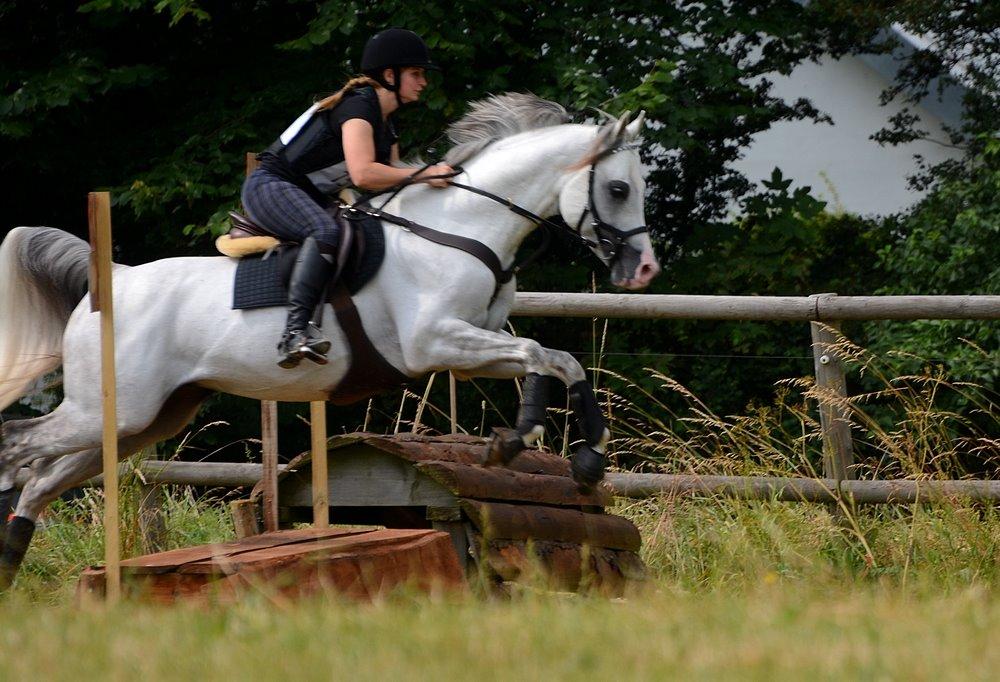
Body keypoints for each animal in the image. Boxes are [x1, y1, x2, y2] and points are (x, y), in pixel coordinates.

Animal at [0, 94, 660, 584]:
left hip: (142, 420)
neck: (456, 229)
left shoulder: (471, 347)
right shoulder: (435, 343)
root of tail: (111, 283)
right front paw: (520, 440)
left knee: (43, 480)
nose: (645, 270)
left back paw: (11, 564)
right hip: (108, 411)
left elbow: (556, 361)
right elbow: (536, 356)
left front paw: (579, 457)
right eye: (619, 189)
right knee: (18, 448)